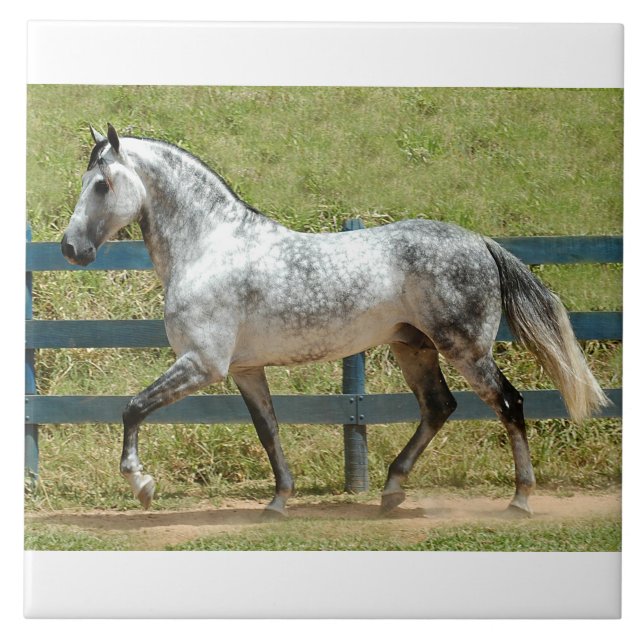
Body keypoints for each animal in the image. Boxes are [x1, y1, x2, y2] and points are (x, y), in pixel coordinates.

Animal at [61, 123, 609, 518]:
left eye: (102, 184)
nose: (71, 248)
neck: (211, 247)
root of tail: (479, 241)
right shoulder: (244, 370)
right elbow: (269, 430)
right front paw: (278, 501)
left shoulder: (202, 364)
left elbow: (133, 408)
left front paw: (142, 484)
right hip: (413, 347)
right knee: (438, 407)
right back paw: (391, 490)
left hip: (466, 349)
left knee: (509, 404)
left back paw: (520, 499)